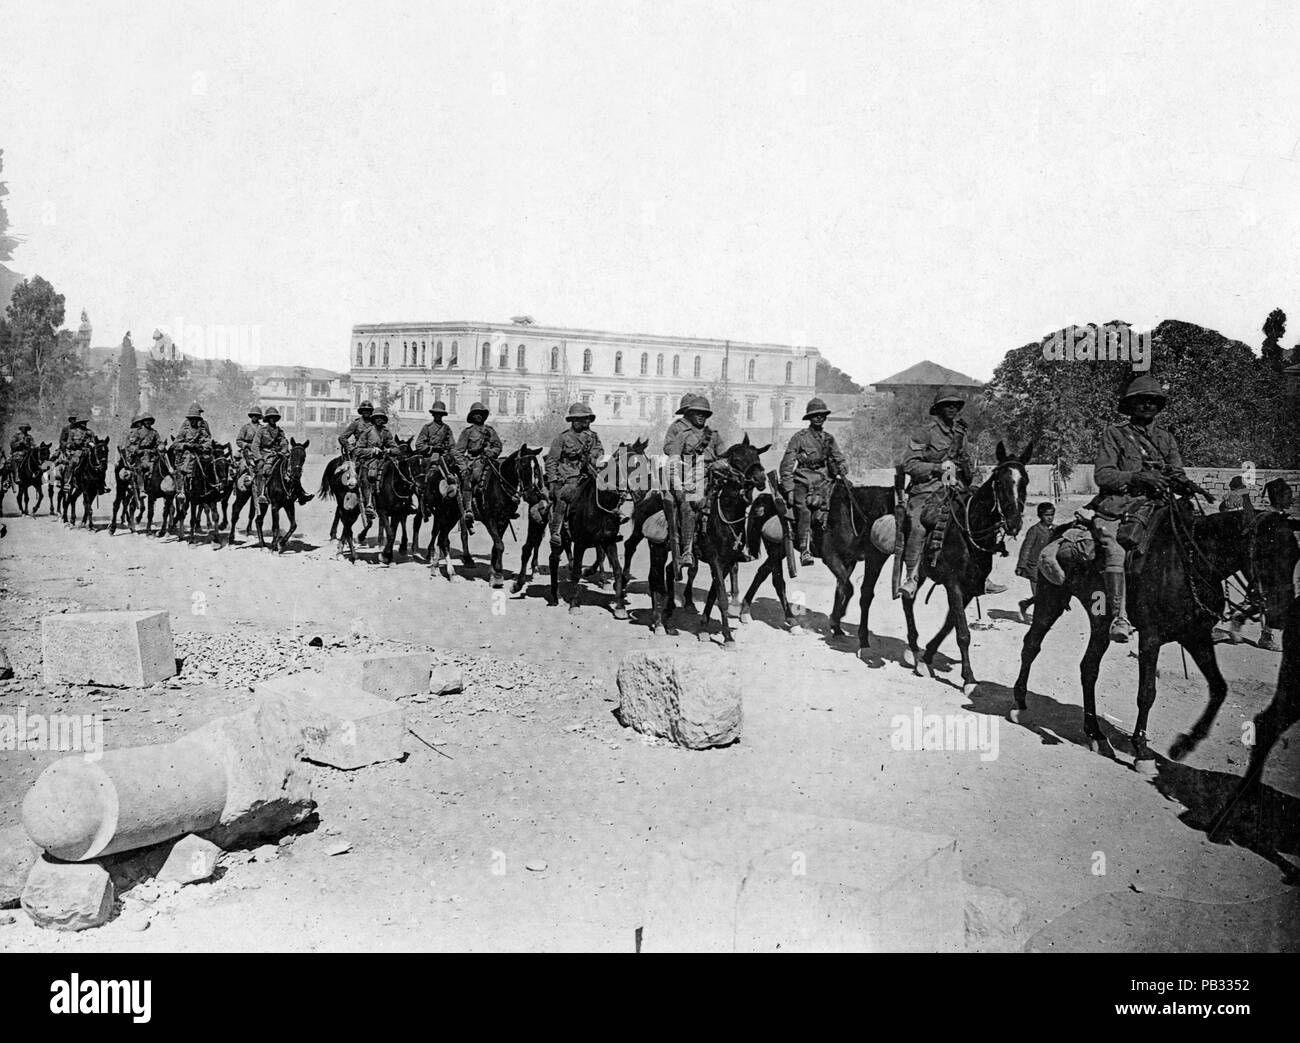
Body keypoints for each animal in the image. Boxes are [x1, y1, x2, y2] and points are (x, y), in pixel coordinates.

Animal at [899, 439, 1029, 691]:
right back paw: (914, 650)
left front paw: (929, 655)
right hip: (918, 568)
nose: (1014, 523)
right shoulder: (953, 585)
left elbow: (950, 624)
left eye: (1024, 481)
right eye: (1000, 481)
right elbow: (962, 633)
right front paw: (968, 678)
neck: (969, 531)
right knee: (908, 599)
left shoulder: (969, 589)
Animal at [1013, 483, 1258, 769]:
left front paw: (1183, 745)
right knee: (1032, 643)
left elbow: (1219, 687)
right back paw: (1019, 704)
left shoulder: (1196, 635)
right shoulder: (1151, 637)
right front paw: (1141, 751)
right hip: (1051, 599)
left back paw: (1096, 735)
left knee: (1088, 667)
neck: (1190, 560)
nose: (1263, 607)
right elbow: (1147, 692)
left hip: (1100, 621)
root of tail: (1059, 531)